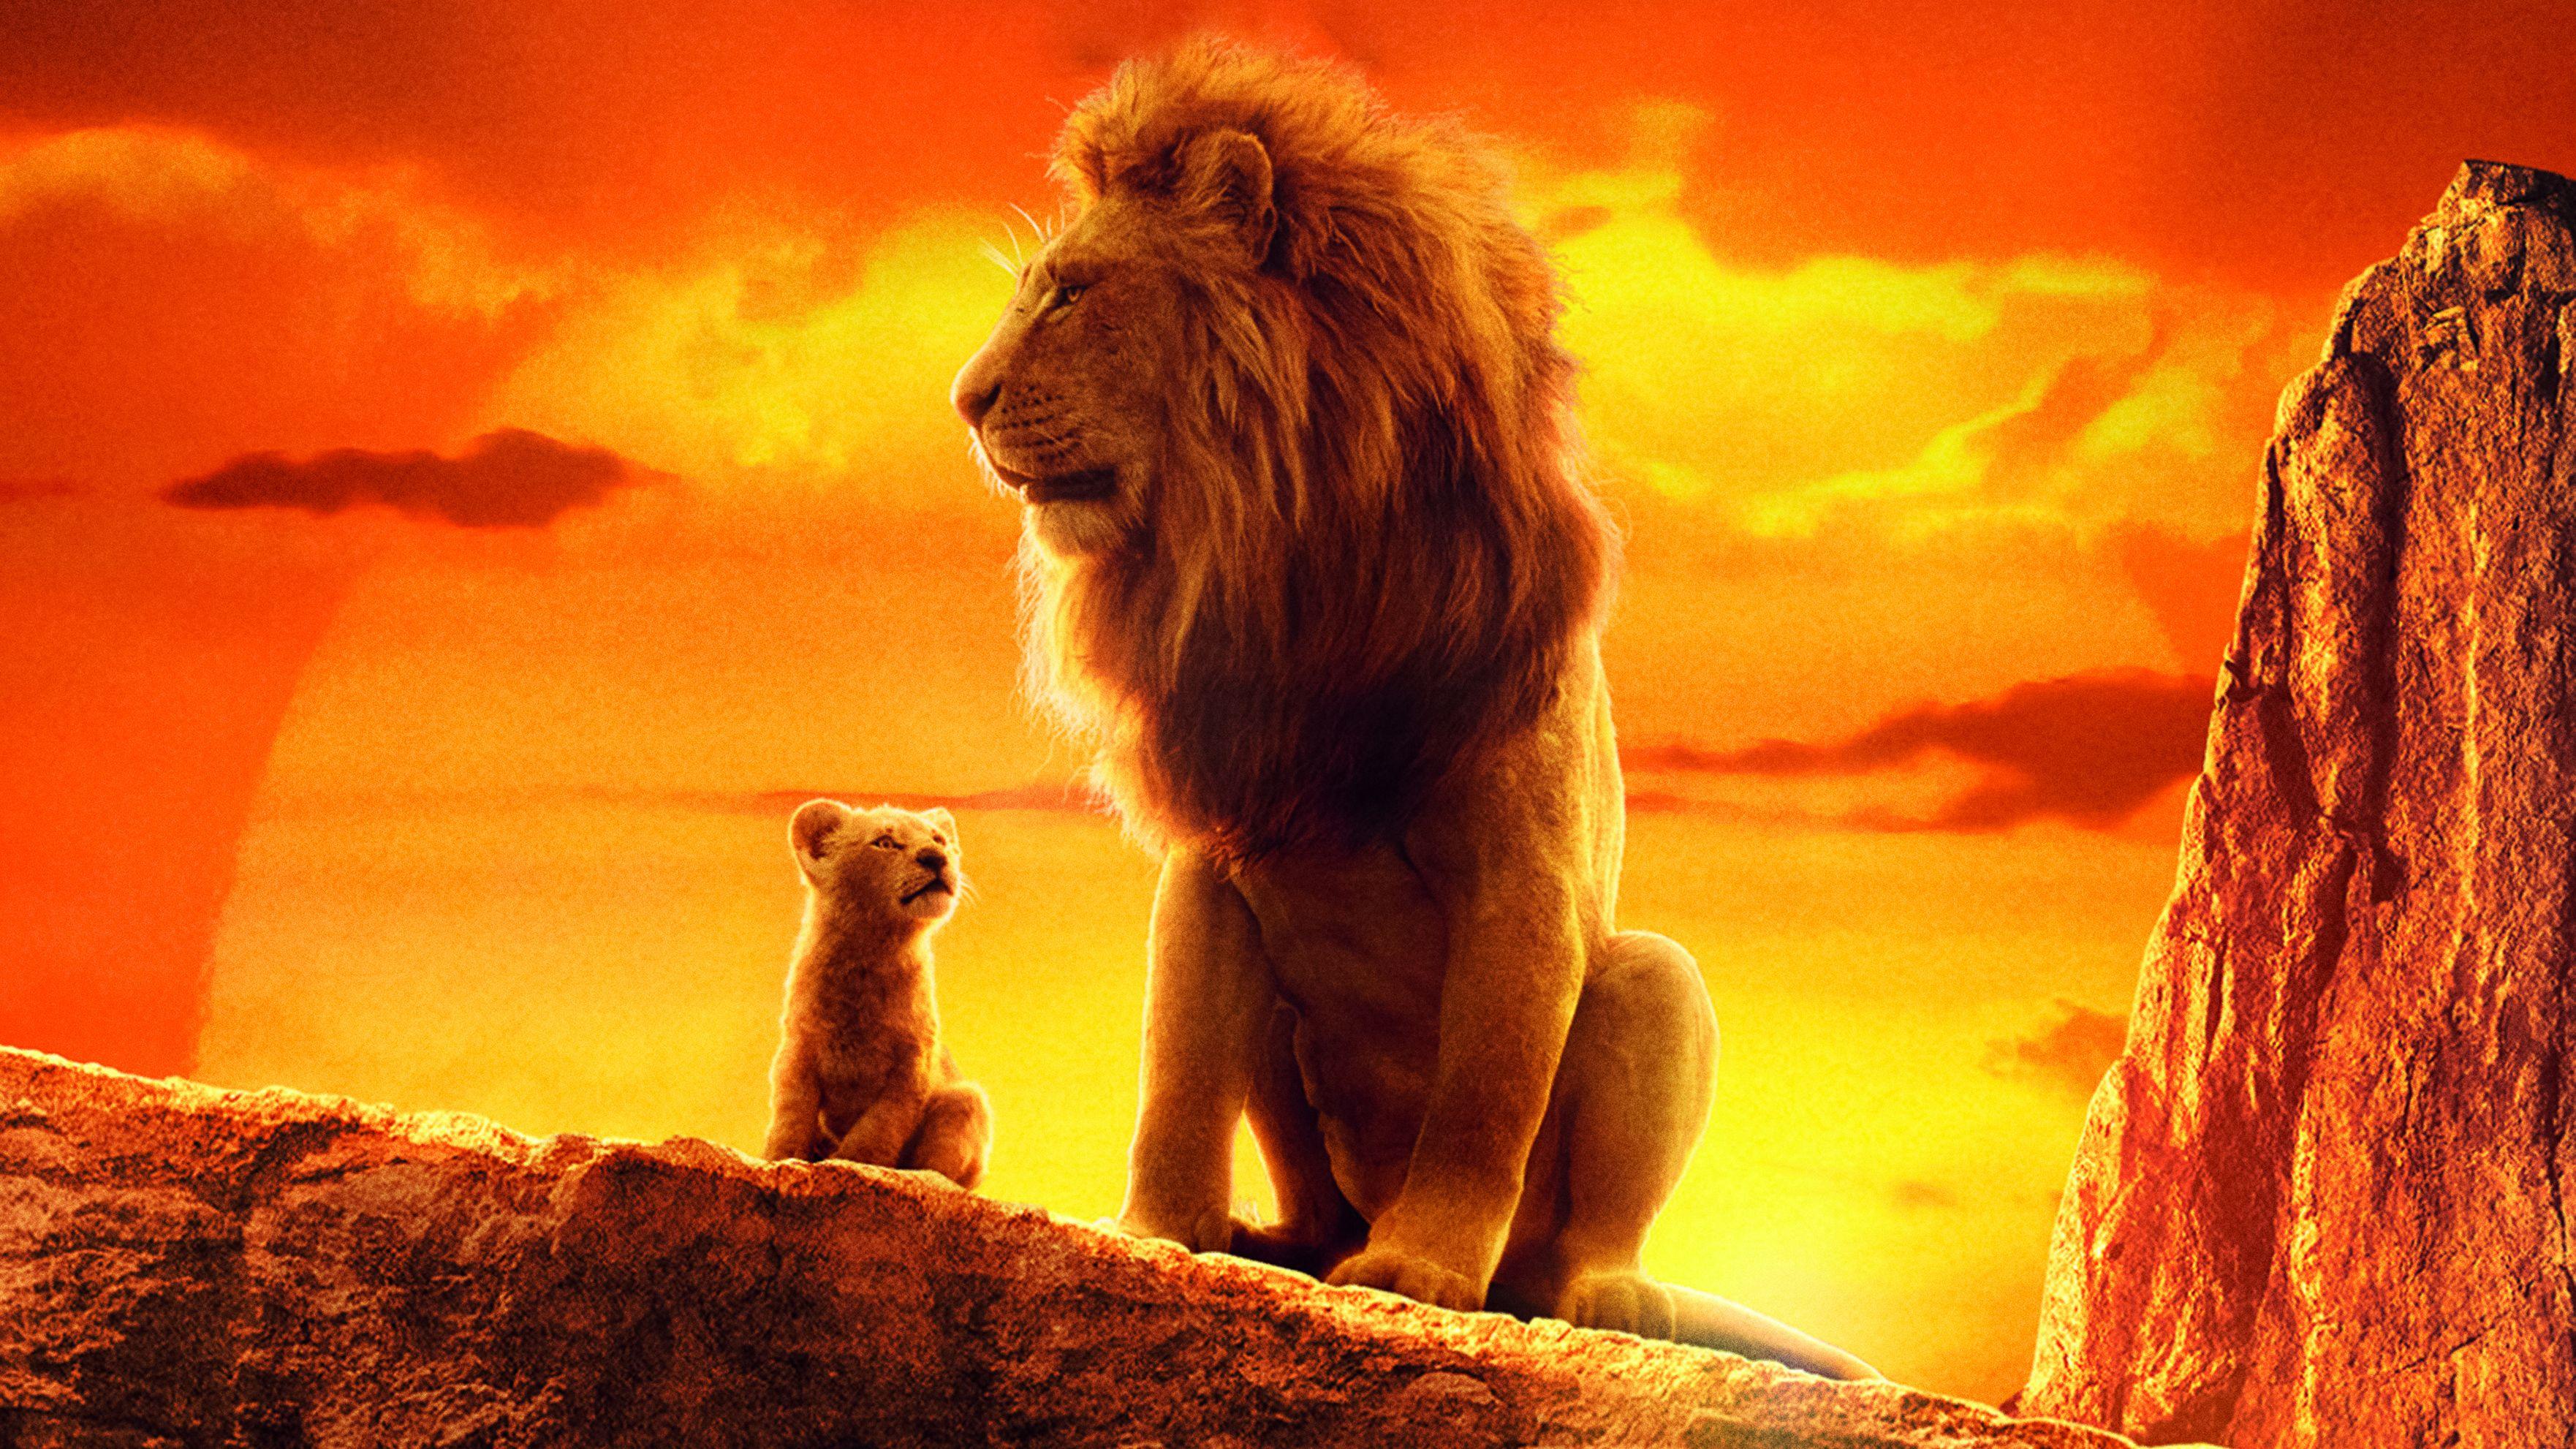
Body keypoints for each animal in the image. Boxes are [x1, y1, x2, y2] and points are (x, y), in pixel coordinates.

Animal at [949, 40, 1875, 1379]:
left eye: (1069, 295)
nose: (963, 399)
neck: (1291, 547)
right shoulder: (1216, 850)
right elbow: (1176, 1072)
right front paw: (1153, 1231)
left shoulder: (1521, 877)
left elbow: (1482, 1101)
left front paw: (1420, 1270)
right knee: (1305, 1179)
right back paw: (1280, 1239)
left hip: (1653, 982)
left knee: (1578, 1224)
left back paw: (1592, 1291)